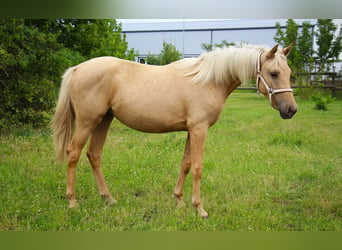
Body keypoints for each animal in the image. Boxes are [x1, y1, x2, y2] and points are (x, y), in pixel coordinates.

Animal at [51, 44, 296, 218]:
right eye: (274, 73)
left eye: (289, 72)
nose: (291, 110)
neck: (208, 80)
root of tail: (78, 68)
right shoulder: (199, 128)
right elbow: (197, 167)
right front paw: (200, 209)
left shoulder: (190, 129)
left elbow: (185, 163)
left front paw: (178, 200)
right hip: (87, 121)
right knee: (73, 154)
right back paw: (72, 201)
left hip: (104, 120)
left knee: (94, 155)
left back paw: (108, 198)